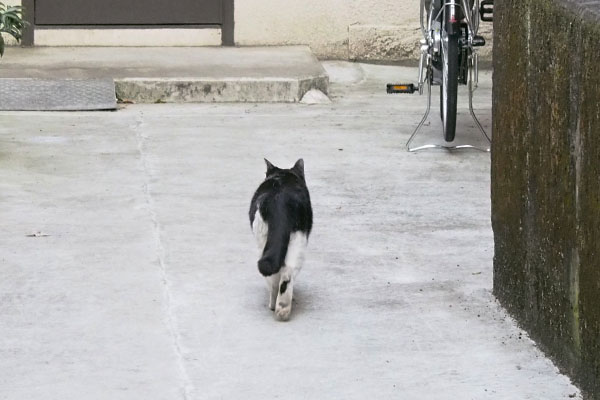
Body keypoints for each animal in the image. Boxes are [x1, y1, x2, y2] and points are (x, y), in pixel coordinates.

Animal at [248, 158, 314, 320]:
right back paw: (283, 307)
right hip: (298, 238)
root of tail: (281, 199)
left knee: (275, 277)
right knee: (288, 272)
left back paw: (274, 305)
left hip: (263, 241)